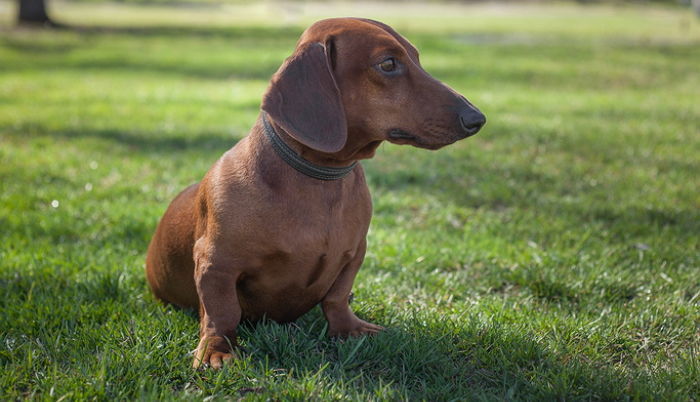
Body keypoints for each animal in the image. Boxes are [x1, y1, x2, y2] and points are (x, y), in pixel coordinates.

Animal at [145, 17, 484, 370]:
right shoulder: (215, 264)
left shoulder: (355, 254)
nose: (477, 119)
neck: (318, 178)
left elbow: (337, 297)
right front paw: (216, 349)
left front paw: (349, 328)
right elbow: (221, 312)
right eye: (388, 64)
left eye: (417, 57)